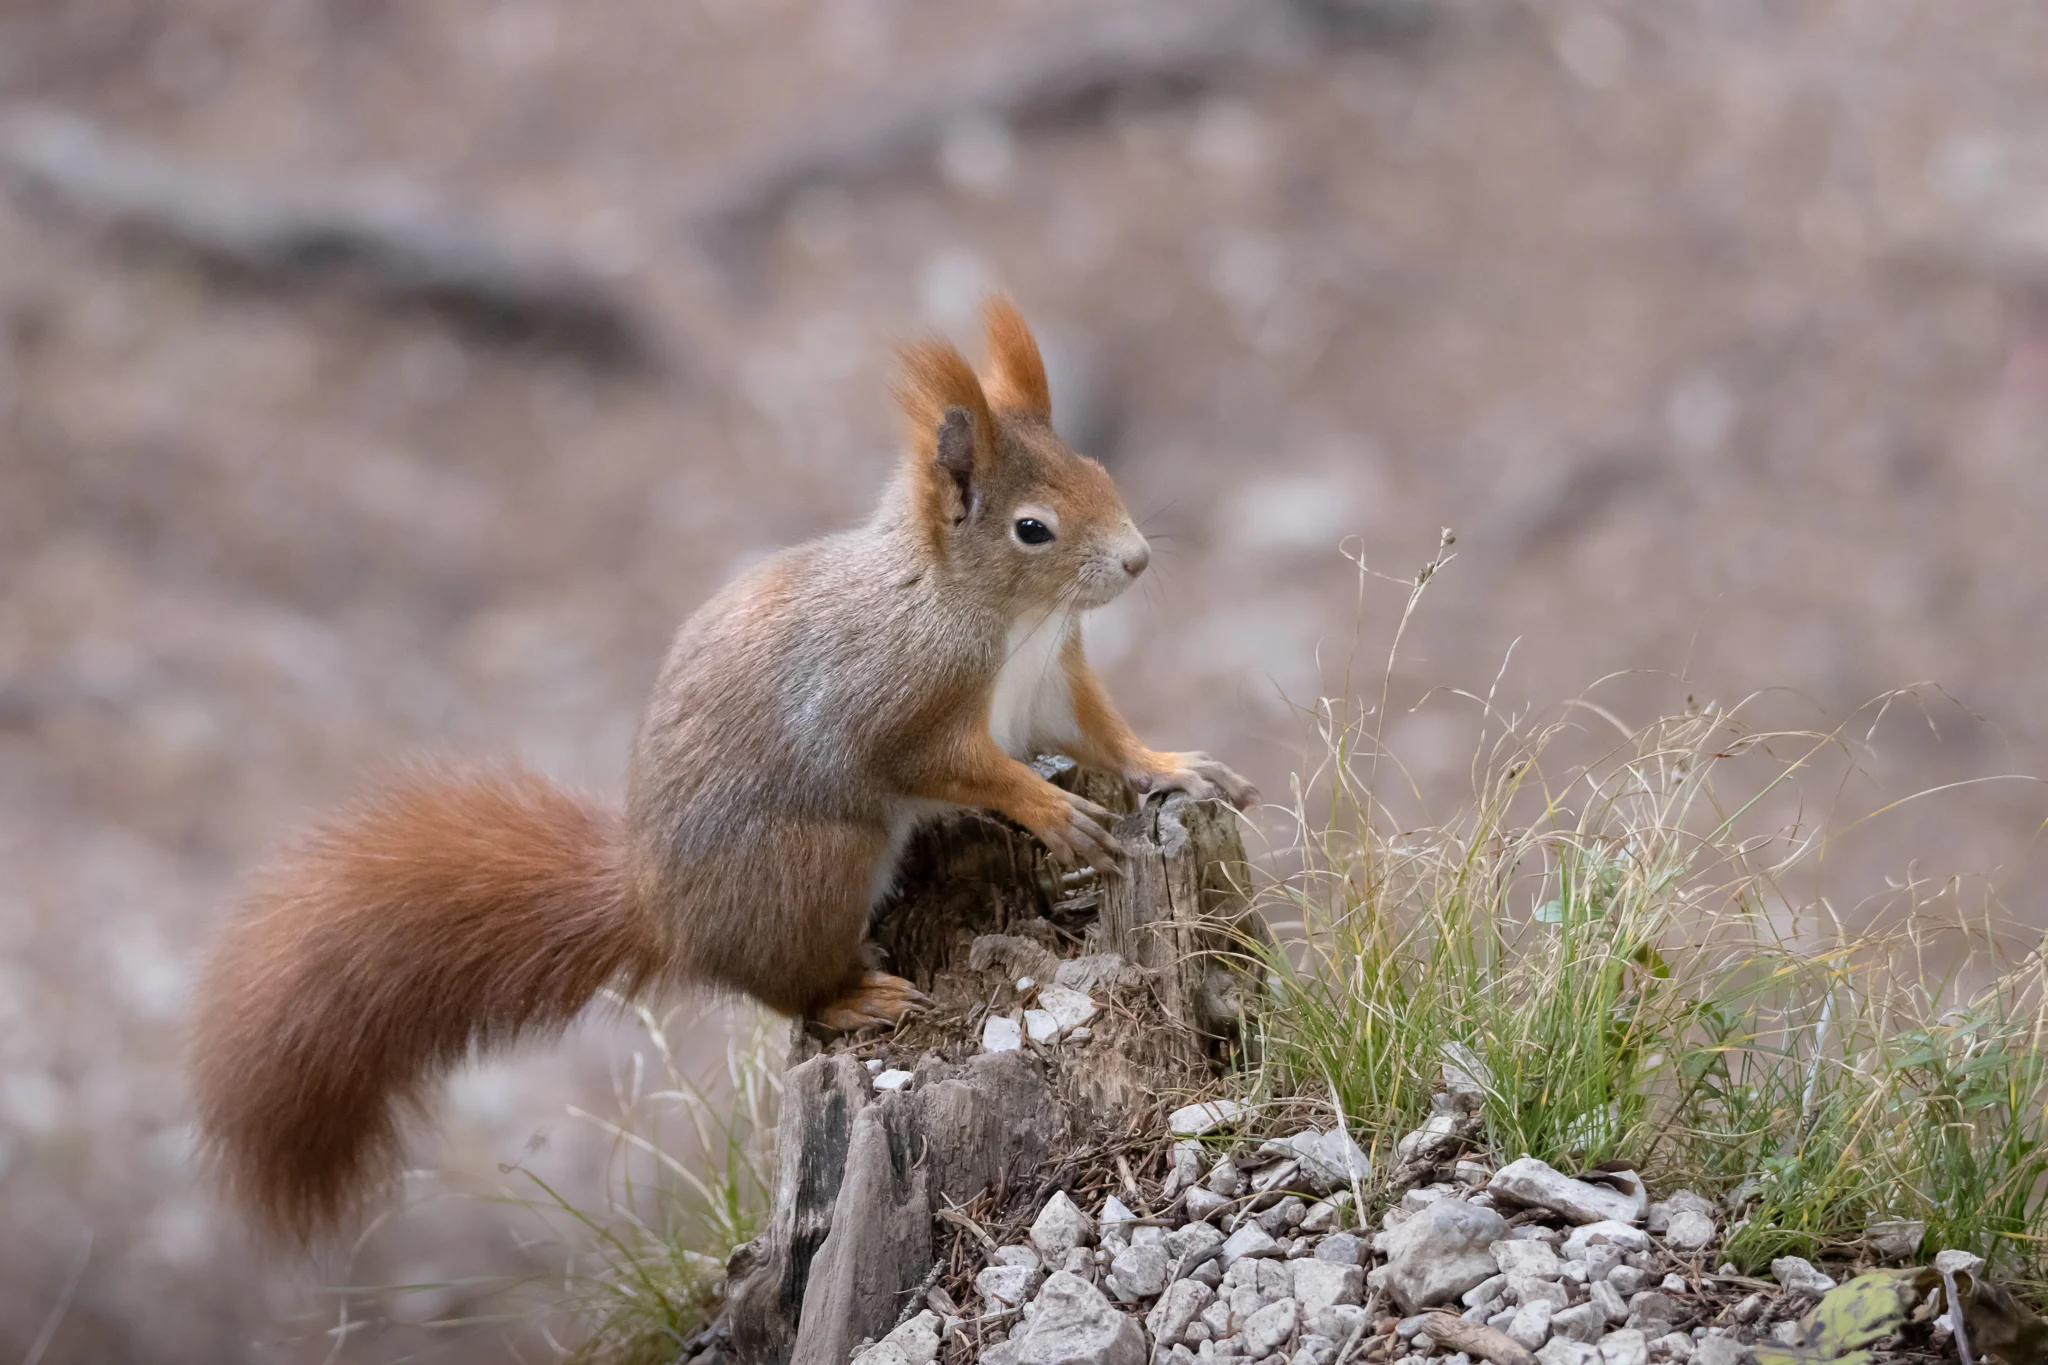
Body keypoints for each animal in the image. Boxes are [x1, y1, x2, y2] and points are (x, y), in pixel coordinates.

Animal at [189, 295, 1255, 1244]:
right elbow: (953, 765)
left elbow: (1108, 737)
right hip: (816, 863)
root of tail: (660, 910)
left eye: (1099, 467)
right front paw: (1049, 809)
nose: (1138, 559)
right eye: (1033, 527)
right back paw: (858, 995)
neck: (995, 615)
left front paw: (1181, 766)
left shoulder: (1050, 688)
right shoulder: (897, 707)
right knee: (790, 985)